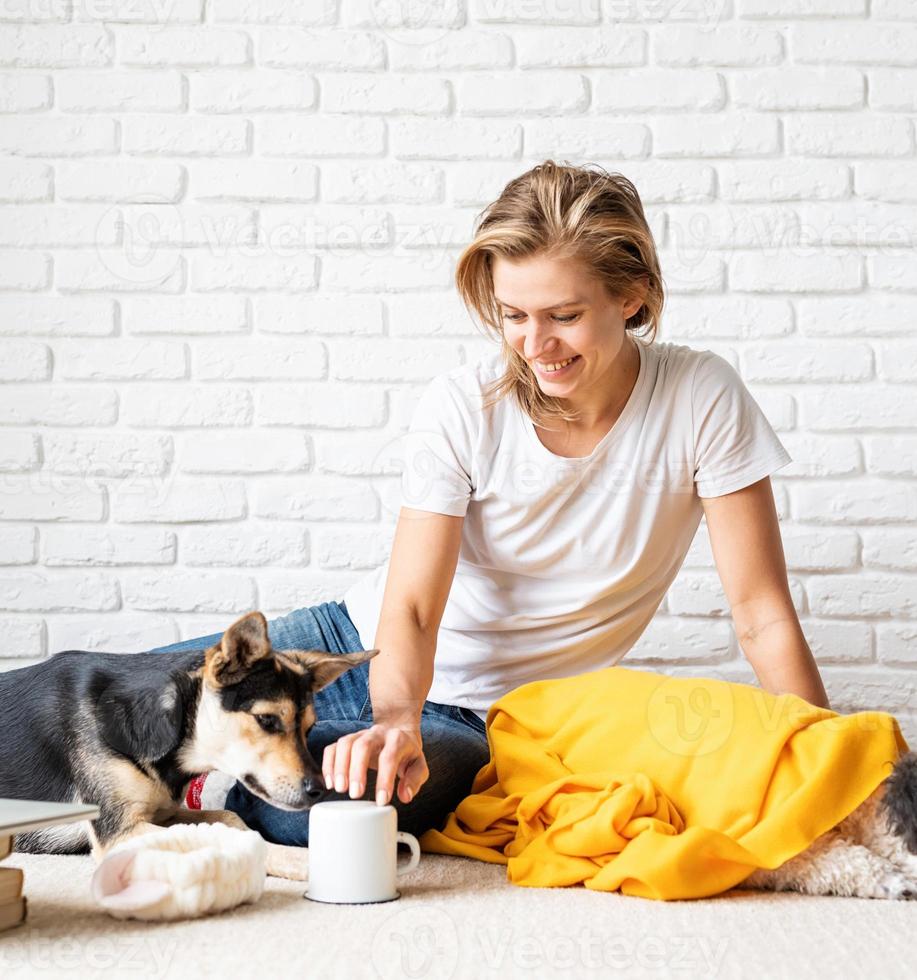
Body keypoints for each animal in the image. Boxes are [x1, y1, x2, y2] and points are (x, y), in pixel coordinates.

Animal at [0, 612, 376, 880]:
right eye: (267, 720)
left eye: (308, 727)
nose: (320, 790)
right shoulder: (119, 832)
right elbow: (236, 838)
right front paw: (308, 861)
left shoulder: (164, 812)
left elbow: (228, 817)